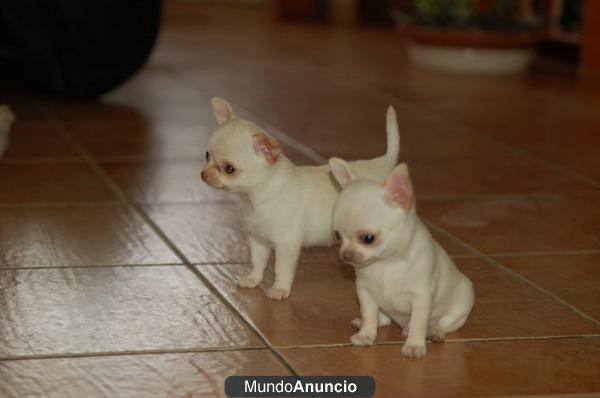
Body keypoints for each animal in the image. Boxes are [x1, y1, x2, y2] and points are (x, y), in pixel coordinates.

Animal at [199, 98, 400, 300]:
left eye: (229, 169)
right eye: (207, 155)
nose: (203, 175)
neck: (258, 196)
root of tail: (384, 164)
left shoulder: (287, 243)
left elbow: (281, 268)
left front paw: (280, 289)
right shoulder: (258, 239)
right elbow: (257, 262)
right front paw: (253, 279)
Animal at [328, 160, 474, 360]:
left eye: (368, 238)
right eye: (337, 235)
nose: (345, 256)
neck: (386, 263)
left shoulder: (421, 298)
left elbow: (418, 323)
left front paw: (414, 345)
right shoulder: (365, 292)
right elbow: (369, 314)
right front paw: (366, 334)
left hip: (462, 304)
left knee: (445, 323)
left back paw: (435, 332)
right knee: (383, 319)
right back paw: (365, 323)